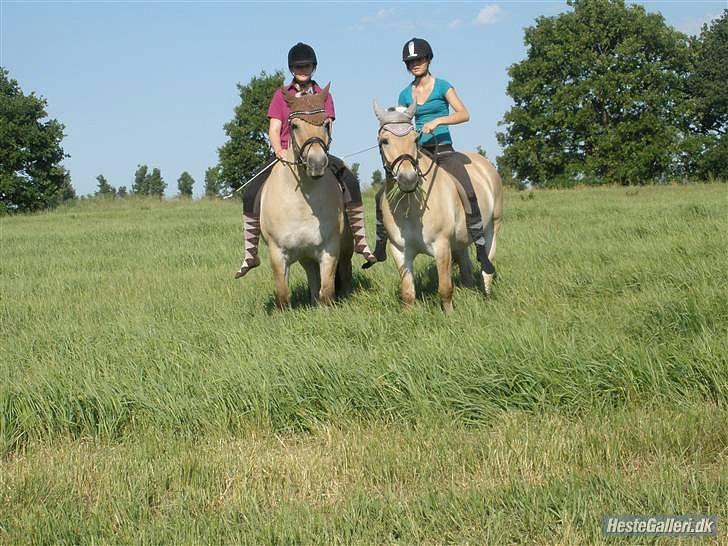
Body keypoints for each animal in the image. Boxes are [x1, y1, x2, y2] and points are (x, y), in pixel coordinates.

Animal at [372, 101, 504, 312]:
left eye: (415, 138)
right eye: (385, 140)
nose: (408, 179)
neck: (411, 207)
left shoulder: (441, 246)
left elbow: (445, 288)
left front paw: (449, 315)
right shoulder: (400, 250)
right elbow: (407, 293)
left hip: (493, 227)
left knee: (487, 265)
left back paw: (487, 295)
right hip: (460, 241)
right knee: (466, 267)